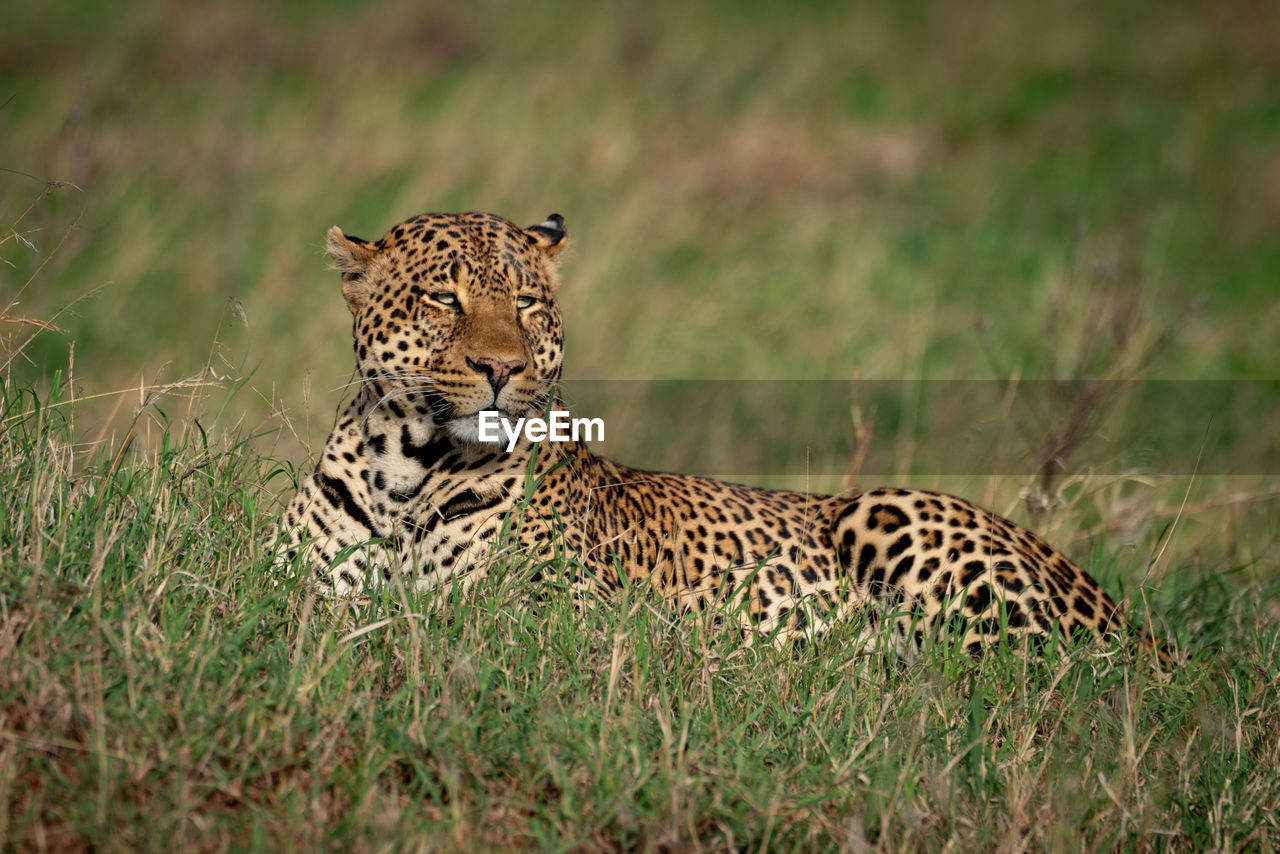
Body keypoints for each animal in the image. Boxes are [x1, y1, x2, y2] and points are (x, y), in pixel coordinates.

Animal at [275, 209, 1172, 665]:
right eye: (442, 298)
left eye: (527, 303)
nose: (502, 367)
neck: (407, 468)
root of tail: (1145, 636)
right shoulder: (298, 588)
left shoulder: (557, 620)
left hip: (893, 511)